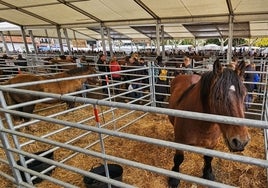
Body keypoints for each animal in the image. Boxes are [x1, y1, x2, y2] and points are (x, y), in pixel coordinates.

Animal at [169, 58, 250, 187]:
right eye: (218, 97)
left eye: (244, 94)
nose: (241, 141)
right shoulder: (180, 142)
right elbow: (178, 159)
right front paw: (174, 178)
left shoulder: (212, 143)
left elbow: (208, 158)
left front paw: (208, 174)